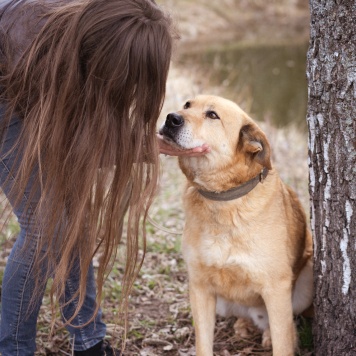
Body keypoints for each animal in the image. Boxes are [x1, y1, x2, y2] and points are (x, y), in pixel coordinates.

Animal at [159, 95, 312, 356]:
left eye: (212, 115)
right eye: (187, 105)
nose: (171, 118)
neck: (223, 201)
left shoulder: (276, 288)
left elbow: (282, 342)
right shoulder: (199, 287)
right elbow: (203, 344)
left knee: (284, 323)